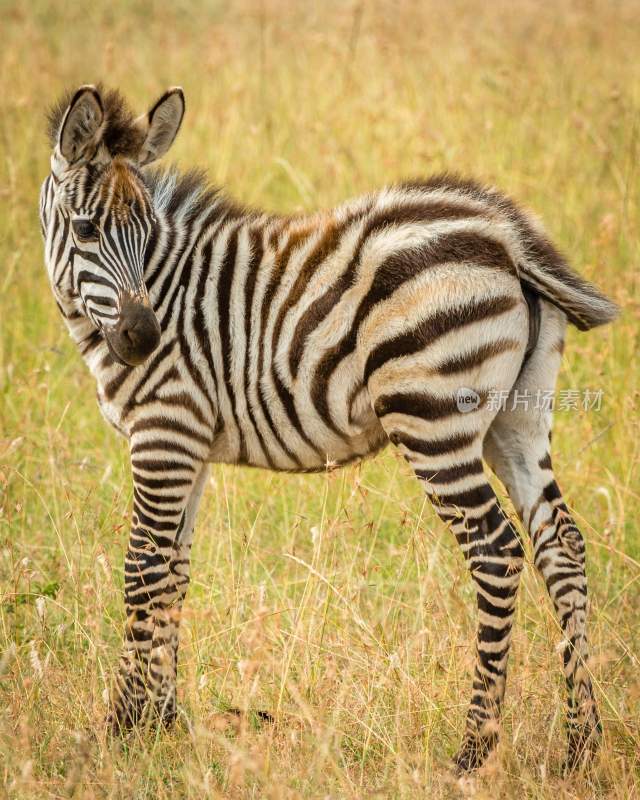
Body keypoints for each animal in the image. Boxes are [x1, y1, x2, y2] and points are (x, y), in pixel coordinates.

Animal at [37, 84, 616, 772]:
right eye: (87, 229)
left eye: (146, 234)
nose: (144, 339)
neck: (165, 288)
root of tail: (503, 233)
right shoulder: (189, 447)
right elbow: (174, 575)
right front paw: (163, 724)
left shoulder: (164, 433)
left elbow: (143, 572)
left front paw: (122, 729)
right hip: (518, 418)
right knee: (562, 544)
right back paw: (582, 743)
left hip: (434, 418)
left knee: (497, 552)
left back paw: (473, 749)